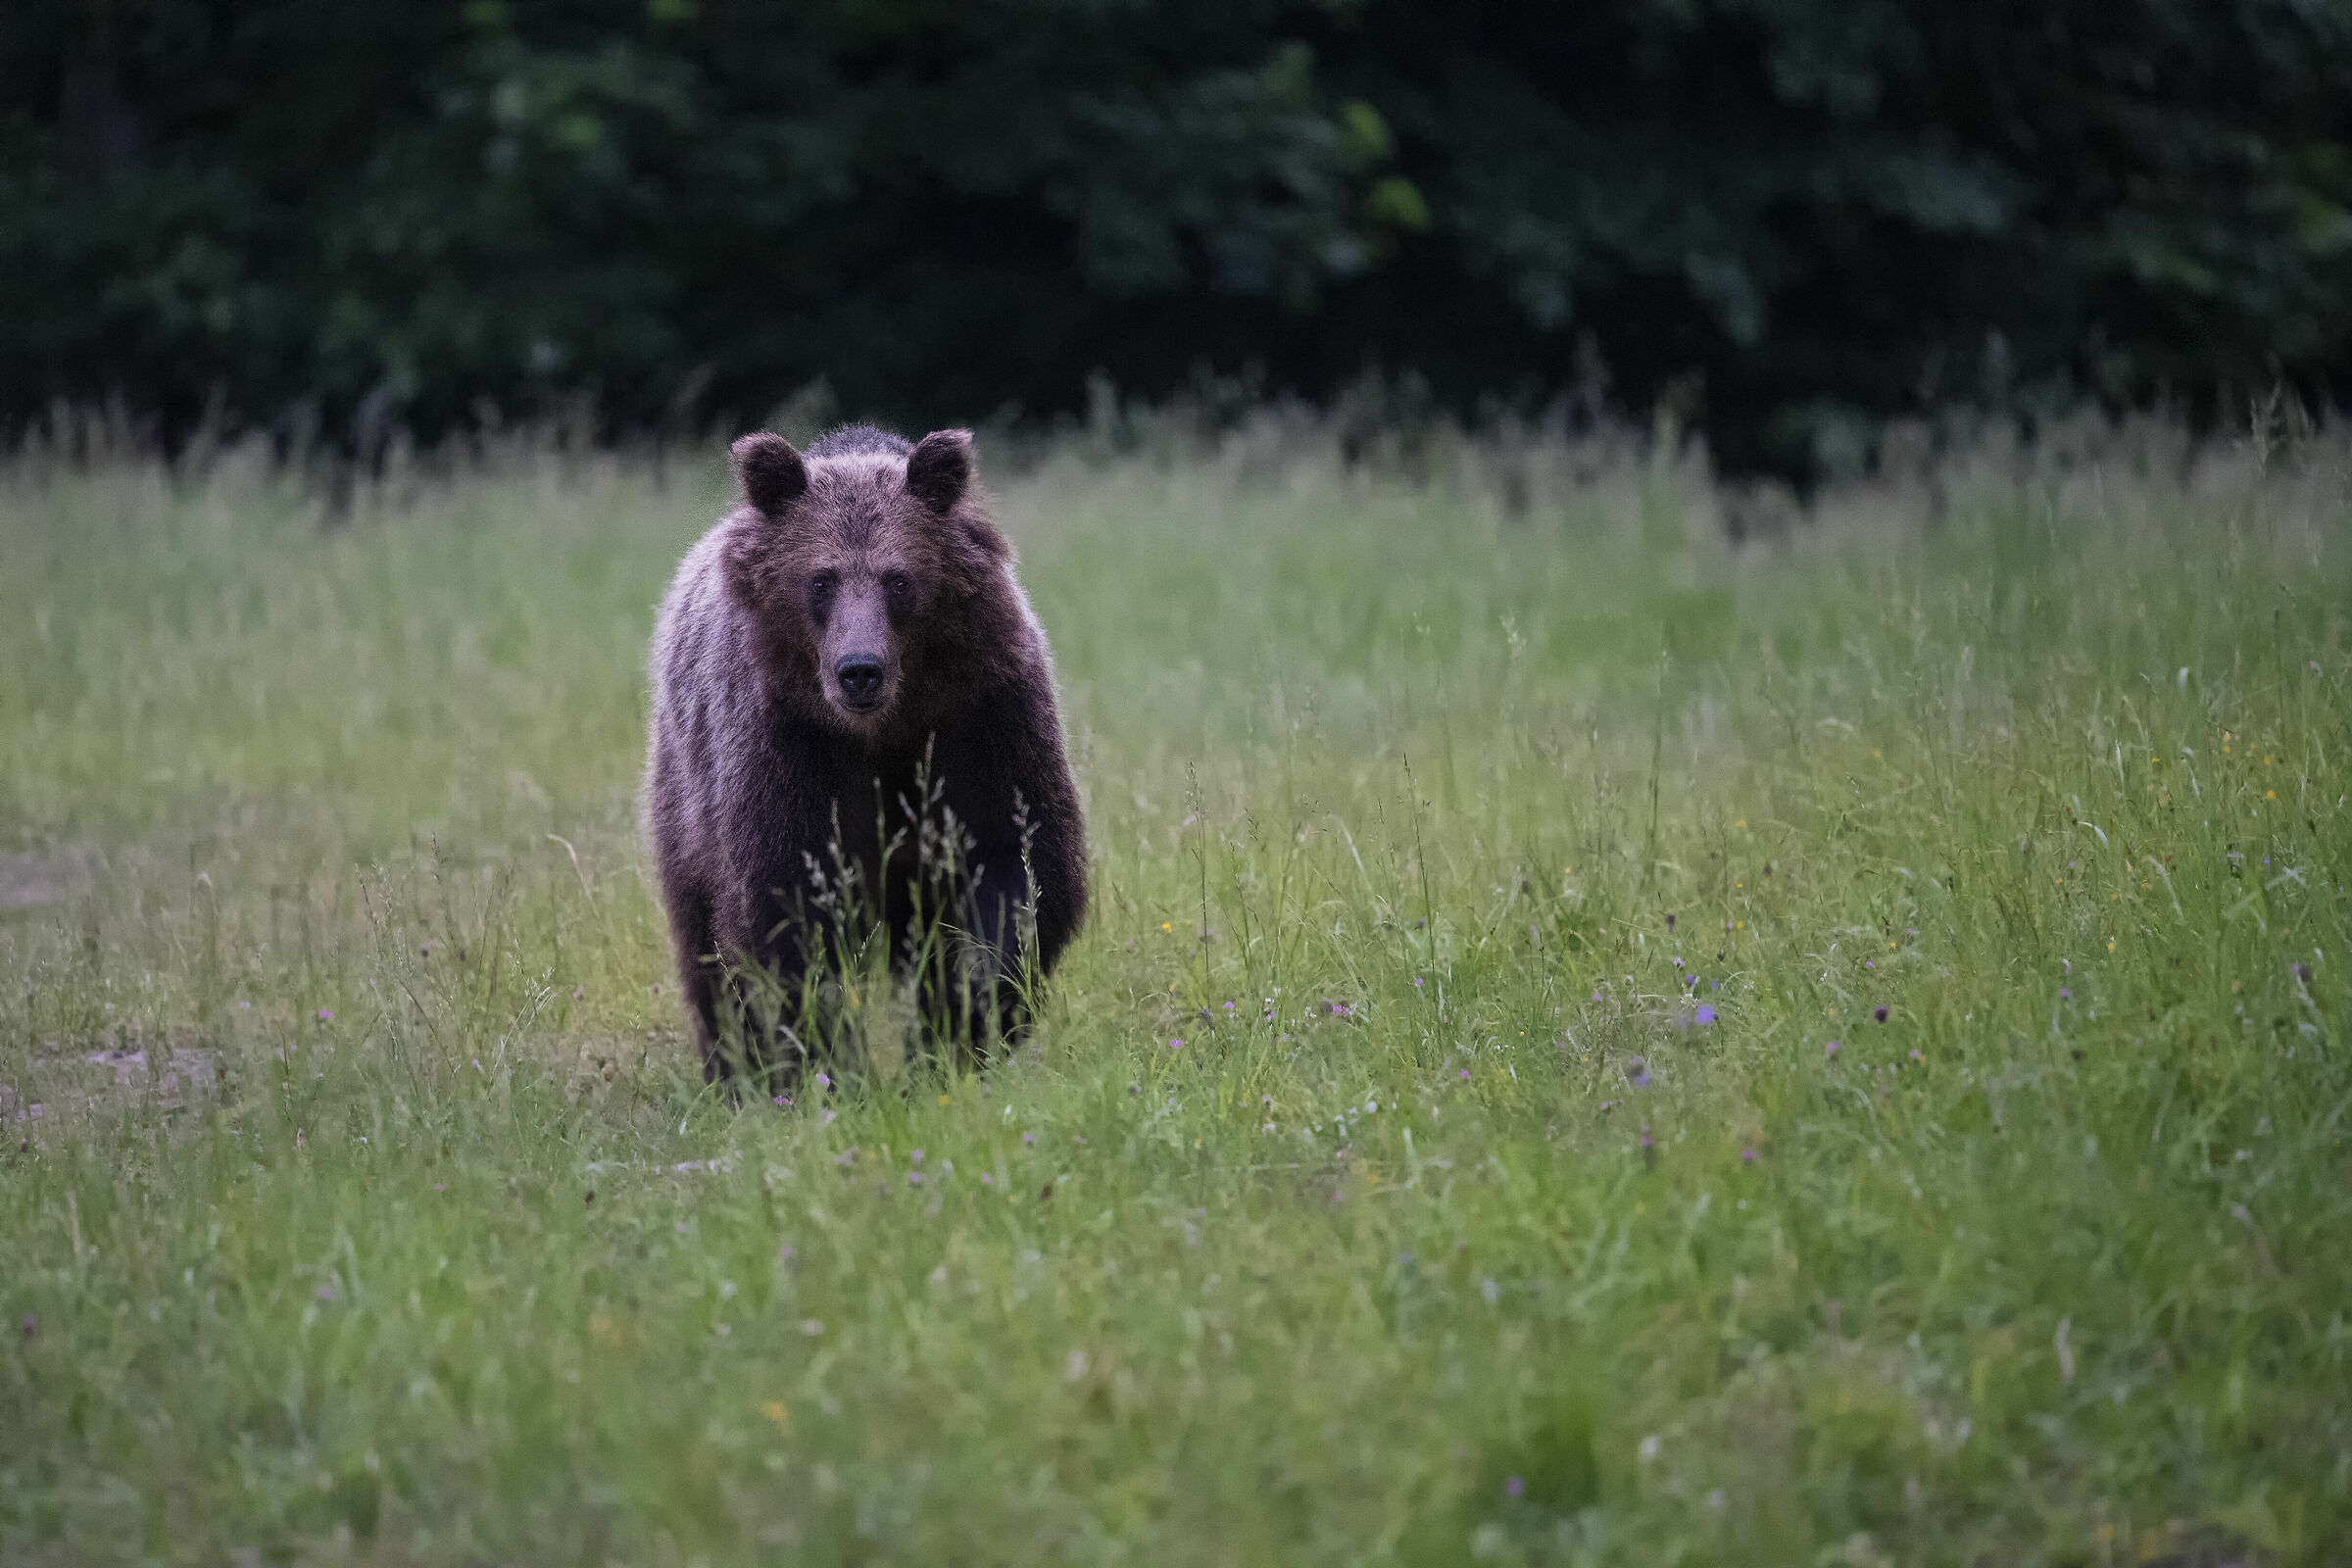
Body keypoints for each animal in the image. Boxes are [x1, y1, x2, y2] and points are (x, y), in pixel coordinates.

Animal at [641, 424, 1087, 1084]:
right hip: (686, 794)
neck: (884, 730)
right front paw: (828, 1066)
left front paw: (961, 1029)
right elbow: (787, 904)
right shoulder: (786, 743)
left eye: (897, 579)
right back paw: (734, 1074)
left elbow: (1017, 862)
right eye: (820, 579)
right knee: (703, 946)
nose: (859, 671)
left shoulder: (982, 717)